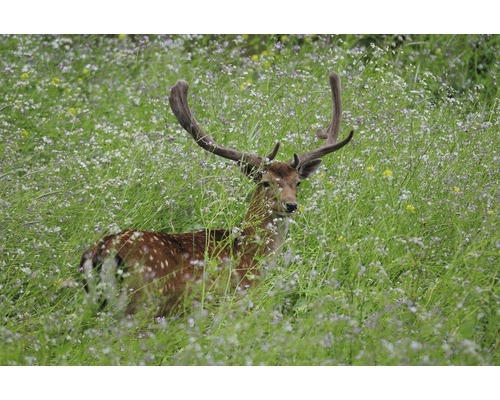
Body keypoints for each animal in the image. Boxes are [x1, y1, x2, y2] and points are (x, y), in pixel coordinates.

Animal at [79, 72, 356, 316]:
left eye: (297, 182)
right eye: (266, 182)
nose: (290, 205)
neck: (251, 253)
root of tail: (102, 252)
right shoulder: (240, 294)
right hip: (142, 302)